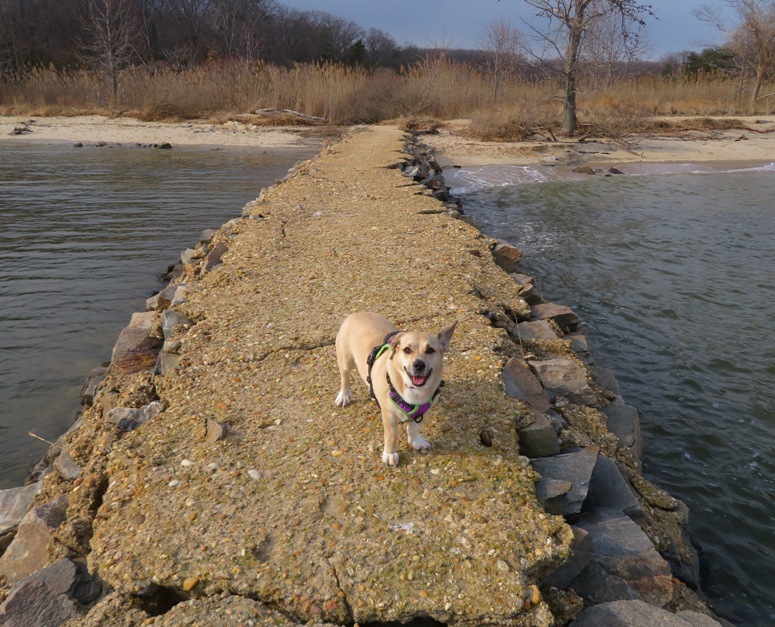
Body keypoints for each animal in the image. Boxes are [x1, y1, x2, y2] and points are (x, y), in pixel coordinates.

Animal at [334, 312, 454, 466]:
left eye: (430, 350)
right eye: (407, 350)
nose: (418, 365)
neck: (412, 389)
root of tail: (357, 313)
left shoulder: (422, 413)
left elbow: (413, 429)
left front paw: (415, 441)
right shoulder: (389, 416)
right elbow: (392, 436)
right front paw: (390, 454)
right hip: (345, 361)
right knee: (345, 377)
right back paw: (344, 395)